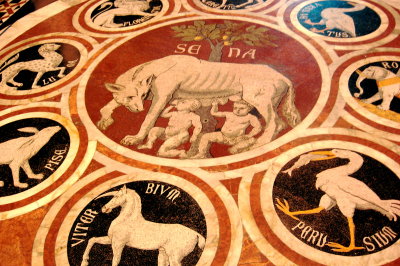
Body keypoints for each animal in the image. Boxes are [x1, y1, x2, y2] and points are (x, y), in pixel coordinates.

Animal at [98, 54, 302, 149]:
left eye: (140, 95)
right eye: (132, 96)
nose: (138, 109)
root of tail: (282, 76)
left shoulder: (160, 98)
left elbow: (148, 120)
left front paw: (135, 138)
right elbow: (108, 106)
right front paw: (105, 120)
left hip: (257, 100)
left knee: (274, 123)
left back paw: (259, 144)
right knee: (279, 123)